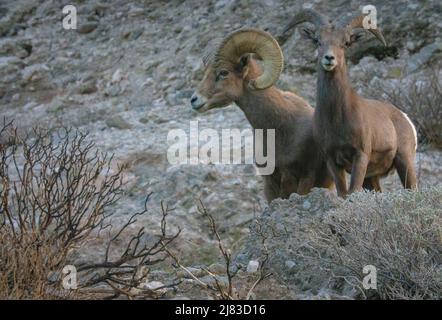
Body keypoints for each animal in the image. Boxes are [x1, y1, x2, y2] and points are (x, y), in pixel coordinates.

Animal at [284, 9, 418, 198]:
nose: (329, 58)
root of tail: (404, 118)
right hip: (372, 178)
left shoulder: (360, 156)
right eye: (317, 41)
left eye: (345, 43)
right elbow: (343, 192)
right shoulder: (332, 160)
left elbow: (353, 190)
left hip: (404, 161)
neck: (337, 119)